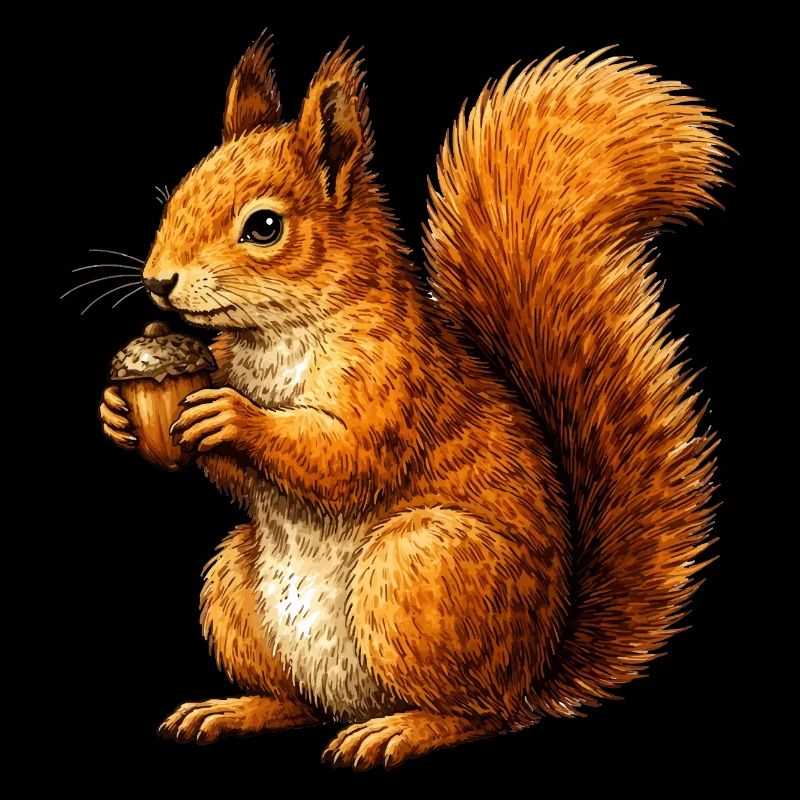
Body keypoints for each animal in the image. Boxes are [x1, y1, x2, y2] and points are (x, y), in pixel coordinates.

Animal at [99, 34, 728, 769]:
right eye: (179, 193)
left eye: (264, 226)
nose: (156, 282)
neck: (275, 338)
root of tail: (536, 674)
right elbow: (240, 479)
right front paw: (117, 414)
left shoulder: (395, 382)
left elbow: (345, 459)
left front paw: (234, 416)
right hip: (234, 584)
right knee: (300, 703)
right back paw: (235, 710)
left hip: (416, 568)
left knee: (483, 715)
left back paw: (400, 730)